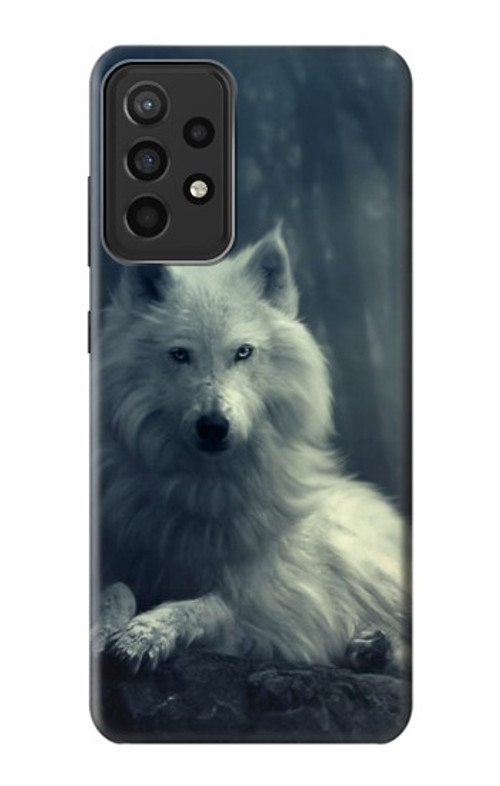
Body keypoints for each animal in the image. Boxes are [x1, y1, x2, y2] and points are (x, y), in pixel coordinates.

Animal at [94, 226, 409, 674]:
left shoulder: (279, 613)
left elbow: (209, 605)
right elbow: (117, 588)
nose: (213, 427)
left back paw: (374, 646)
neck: (204, 491)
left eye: (243, 352)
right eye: (180, 355)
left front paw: (145, 634)